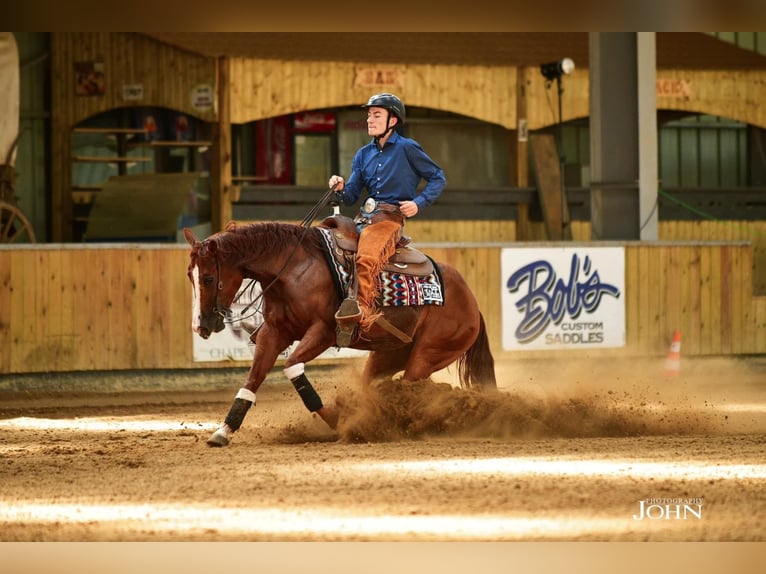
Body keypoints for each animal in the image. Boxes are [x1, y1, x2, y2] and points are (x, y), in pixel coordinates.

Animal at [186, 218, 498, 448]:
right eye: (191, 275)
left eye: (209, 278)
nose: (201, 326)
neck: (294, 269)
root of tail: (472, 304)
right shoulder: (274, 333)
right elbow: (253, 379)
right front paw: (223, 430)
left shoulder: (323, 332)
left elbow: (293, 367)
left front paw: (336, 420)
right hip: (389, 355)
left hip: (428, 355)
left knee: (410, 387)